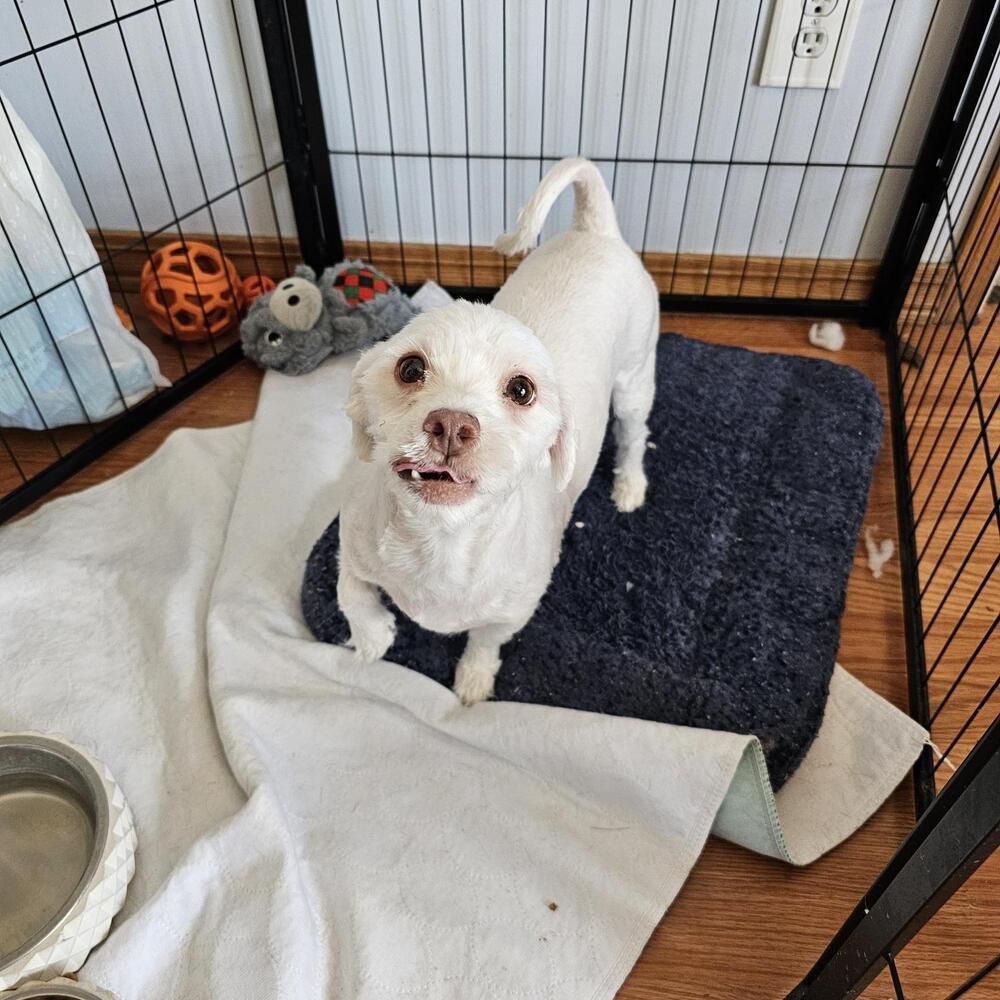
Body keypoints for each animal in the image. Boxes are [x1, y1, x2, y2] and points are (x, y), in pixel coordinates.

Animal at [340, 156, 660, 704]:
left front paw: (473, 679)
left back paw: (630, 484)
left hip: (635, 378)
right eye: (409, 368)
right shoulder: (350, 538)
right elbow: (350, 593)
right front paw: (373, 634)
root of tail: (595, 230)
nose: (452, 424)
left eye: (522, 389)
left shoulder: (514, 608)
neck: (441, 542)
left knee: (635, 434)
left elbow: (486, 639)